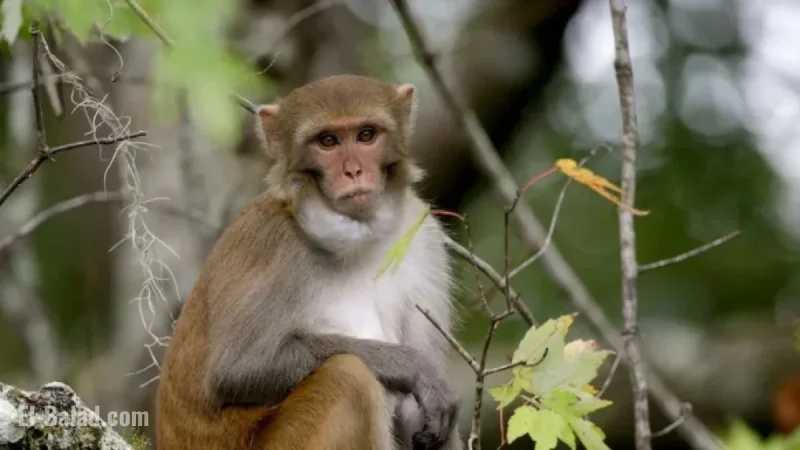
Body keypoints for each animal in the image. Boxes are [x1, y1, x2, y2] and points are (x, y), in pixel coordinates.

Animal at [155, 74, 463, 450]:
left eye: (366, 135)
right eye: (327, 141)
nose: (353, 171)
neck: (360, 237)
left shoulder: (423, 238)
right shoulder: (271, 241)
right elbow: (238, 369)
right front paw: (413, 366)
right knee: (348, 376)